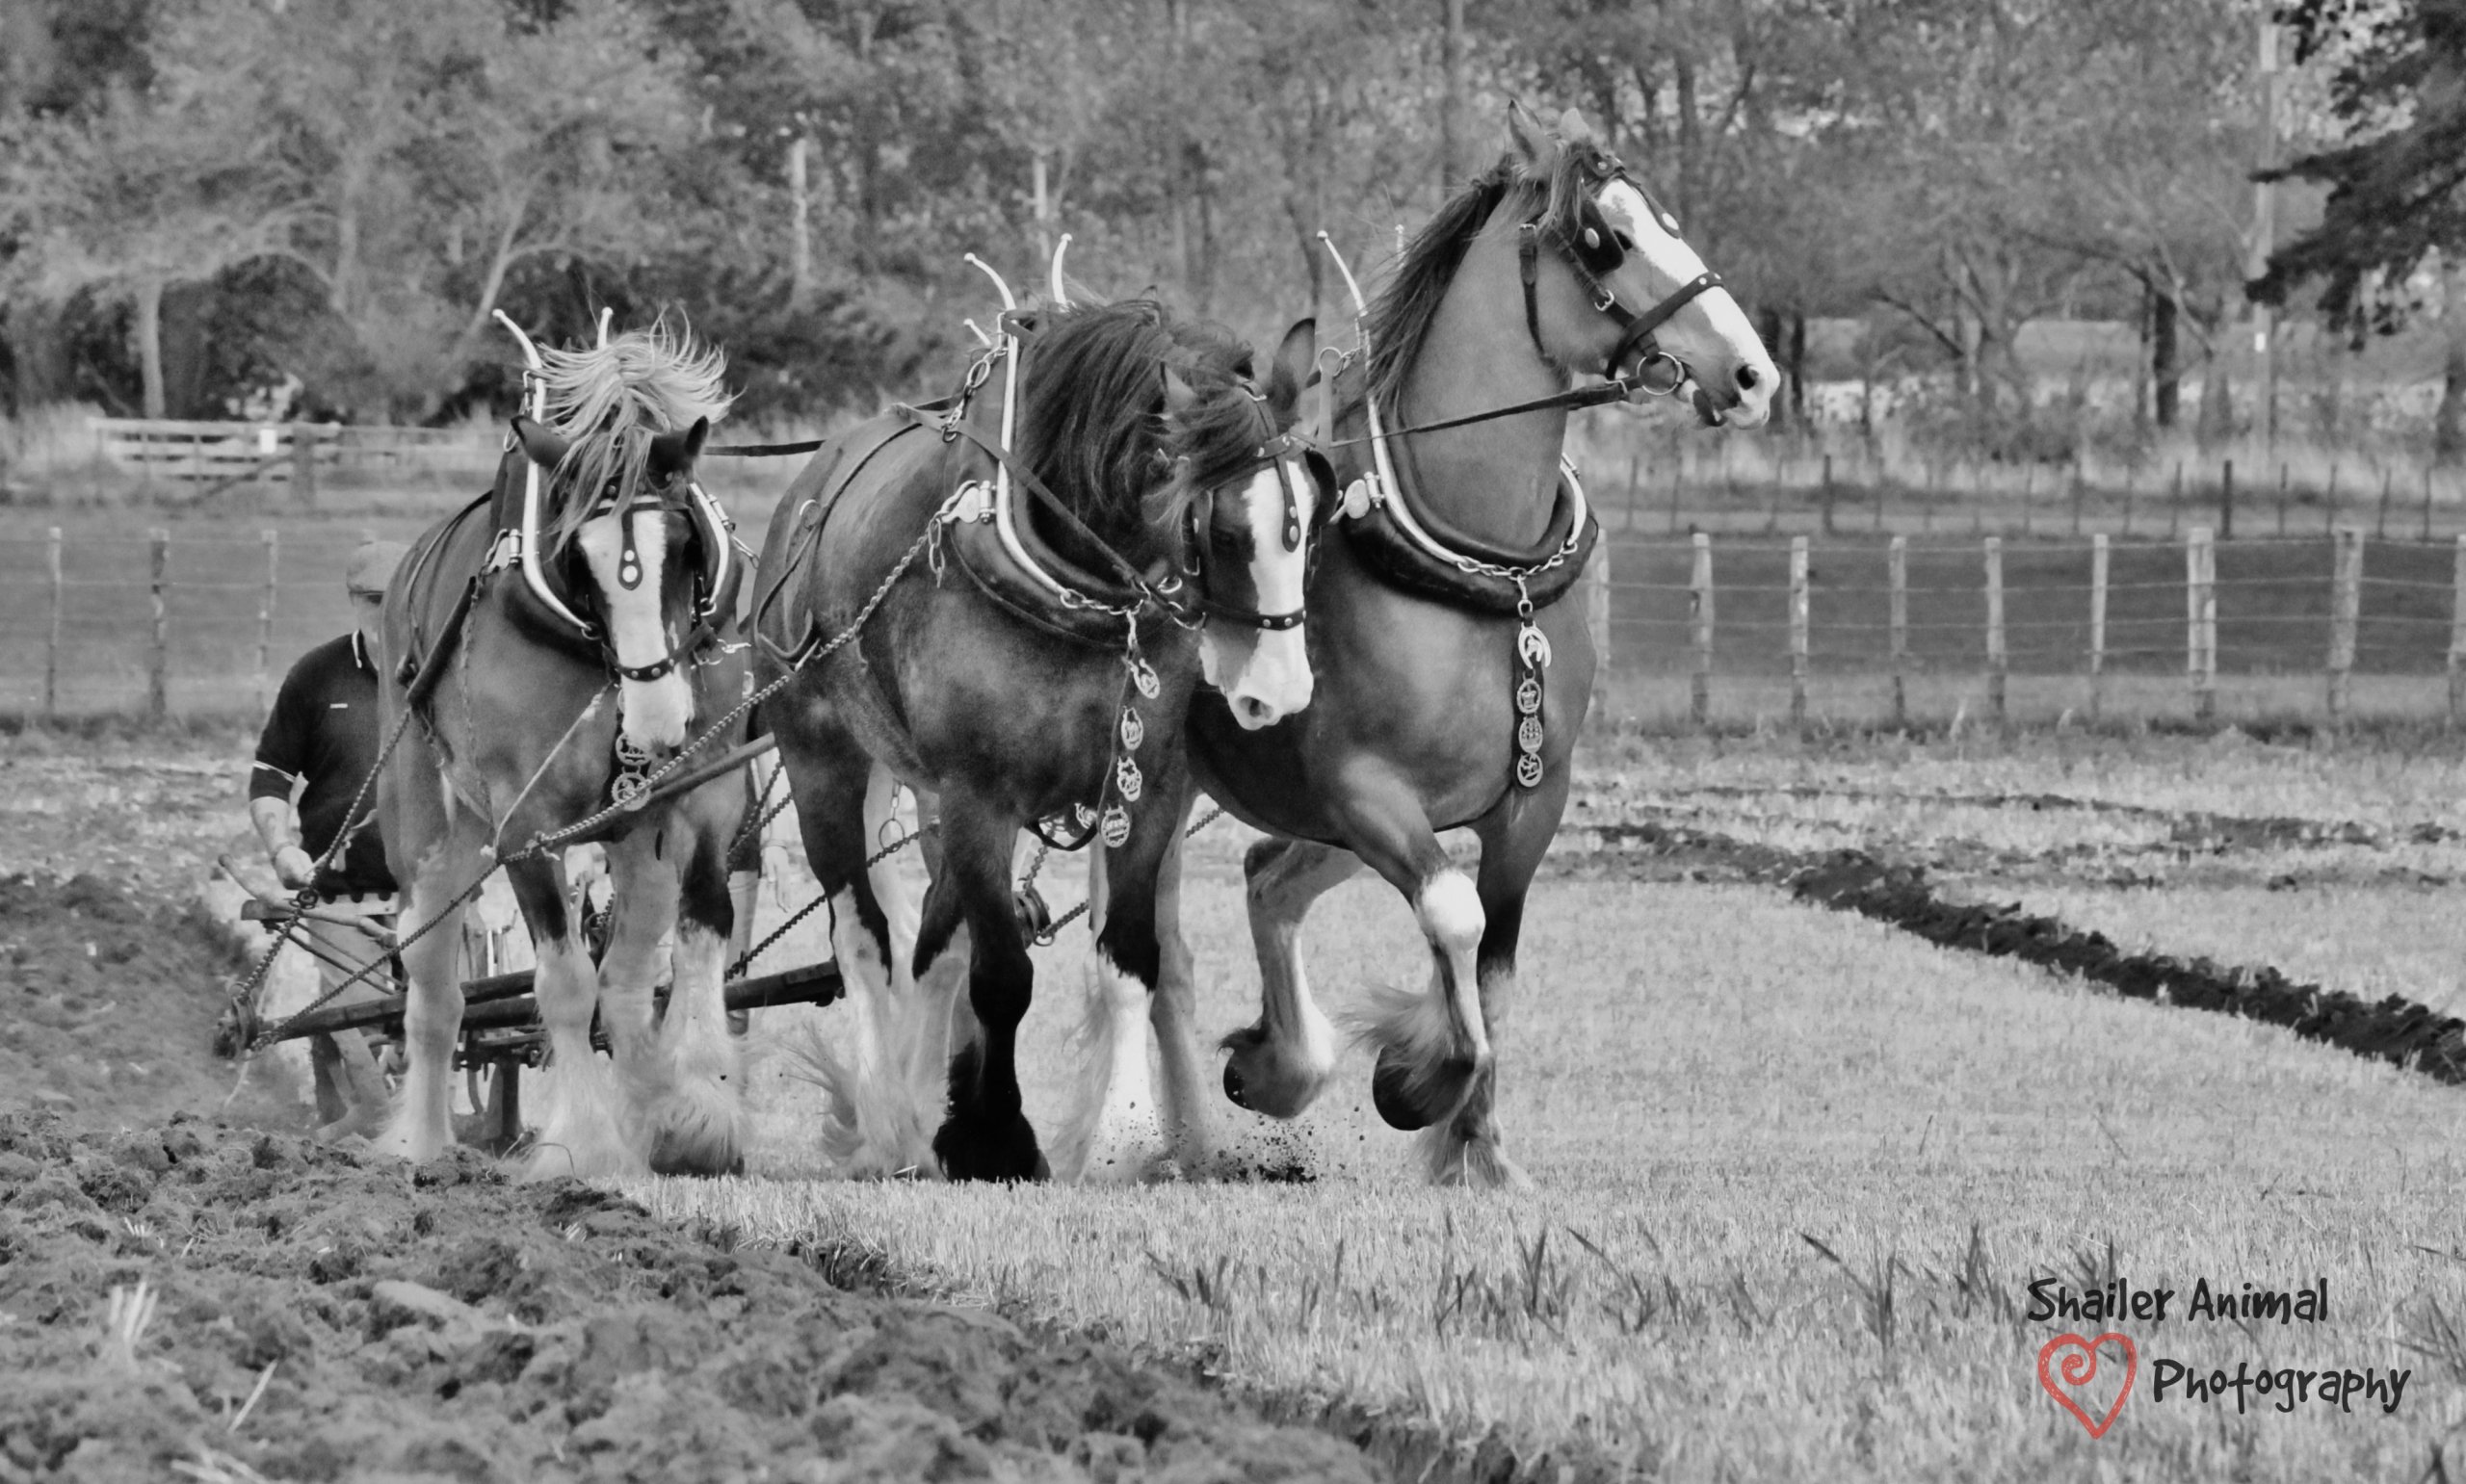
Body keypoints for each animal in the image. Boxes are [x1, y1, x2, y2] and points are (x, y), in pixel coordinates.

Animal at [749, 297, 1331, 1178]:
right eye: (1225, 531)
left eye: (1311, 510)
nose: (1282, 689)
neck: (1070, 585)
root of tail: (806, 492)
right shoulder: (978, 798)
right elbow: (1001, 975)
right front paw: (995, 1137)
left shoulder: (1146, 785)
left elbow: (1129, 957)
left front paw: (1125, 1134)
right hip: (822, 761)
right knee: (862, 940)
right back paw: (888, 1122)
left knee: (930, 940)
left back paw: (921, 1108)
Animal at [1110, 100, 1785, 1178]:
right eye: (1607, 237)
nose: (1753, 373)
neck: (1487, 568)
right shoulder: (1362, 786)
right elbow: (1453, 917)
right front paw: (1420, 1081)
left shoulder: (1528, 800)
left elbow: (1495, 963)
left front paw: (1482, 1150)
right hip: (1164, 791)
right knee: (1155, 950)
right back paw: (1179, 1139)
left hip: (1320, 818)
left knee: (1267, 882)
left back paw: (1277, 1067)